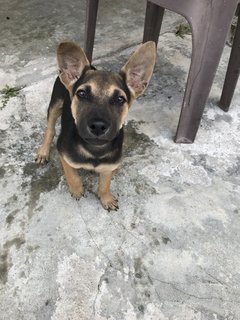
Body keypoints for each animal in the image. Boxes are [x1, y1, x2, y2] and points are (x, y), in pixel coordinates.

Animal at [35, 40, 156, 210]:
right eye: (81, 94)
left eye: (120, 99)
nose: (98, 126)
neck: (95, 149)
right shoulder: (64, 155)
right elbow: (71, 174)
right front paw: (77, 189)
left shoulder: (110, 165)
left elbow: (105, 183)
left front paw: (106, 198)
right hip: (55, 104)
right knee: (50, 129)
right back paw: (43, 151)